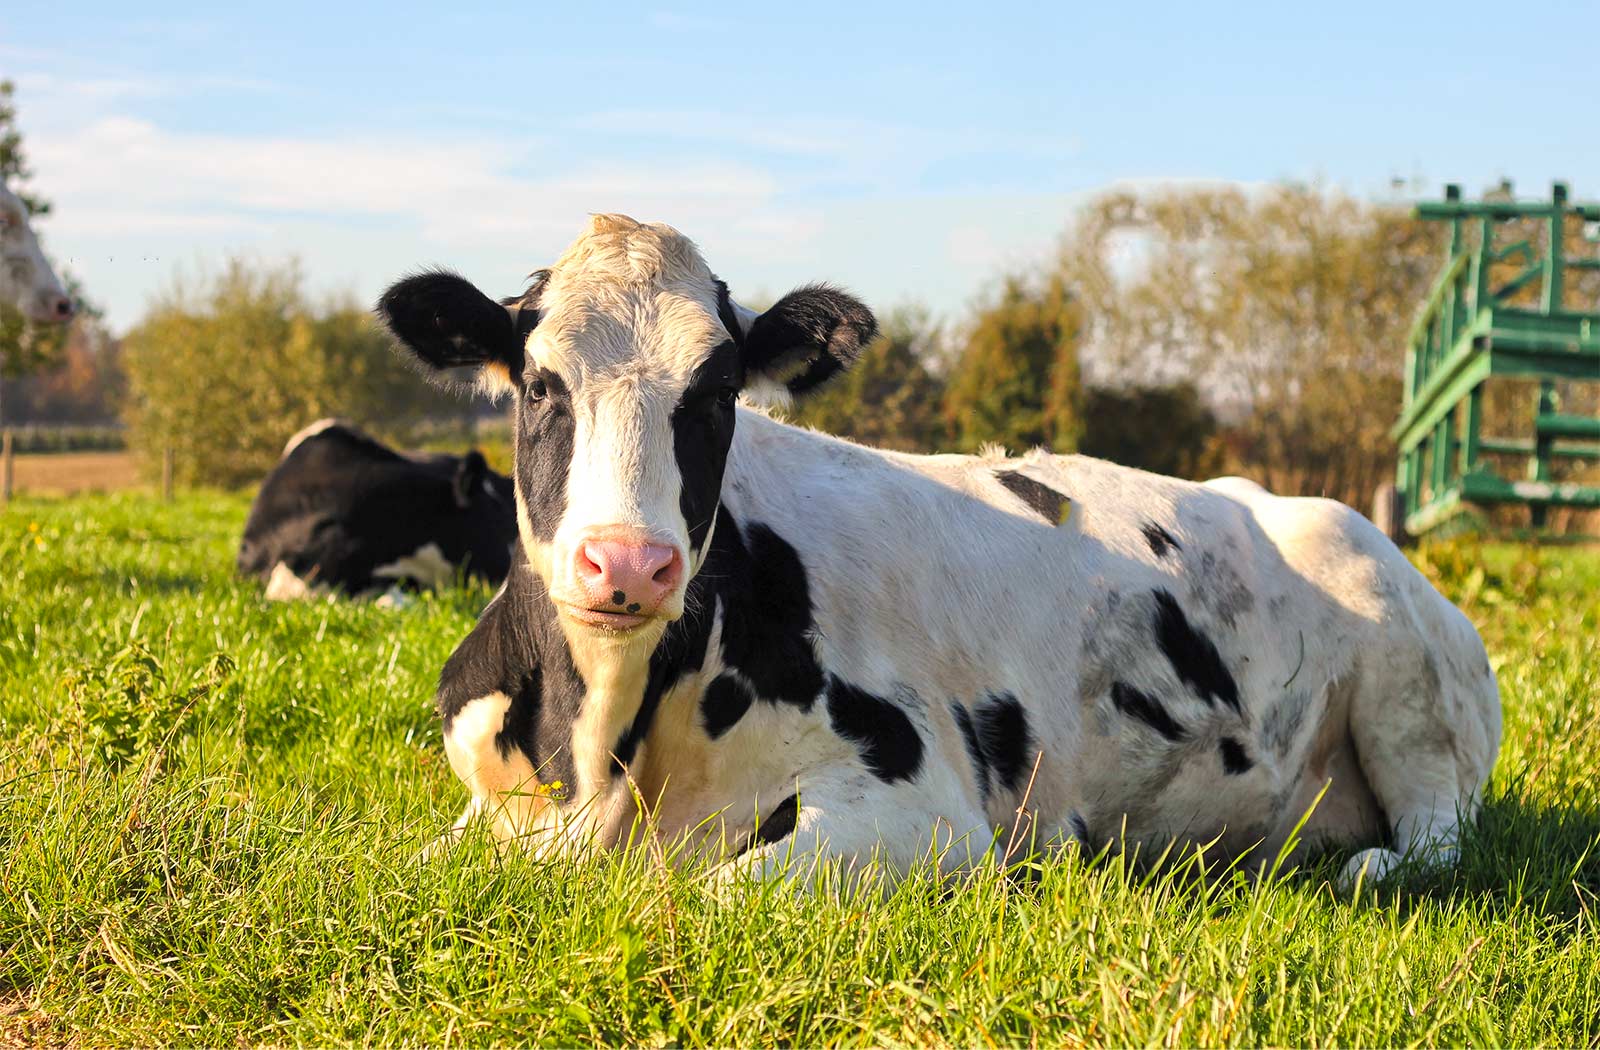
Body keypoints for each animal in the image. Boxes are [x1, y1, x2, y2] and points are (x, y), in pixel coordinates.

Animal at [380, 217, 1504, 889]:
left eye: (720, 391)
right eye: (538, 385)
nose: (626, 565)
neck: (599, 757)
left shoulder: (923, 809)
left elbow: (709, 892)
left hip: (1412, 692)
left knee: (1436, 835)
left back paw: (1372, 867)